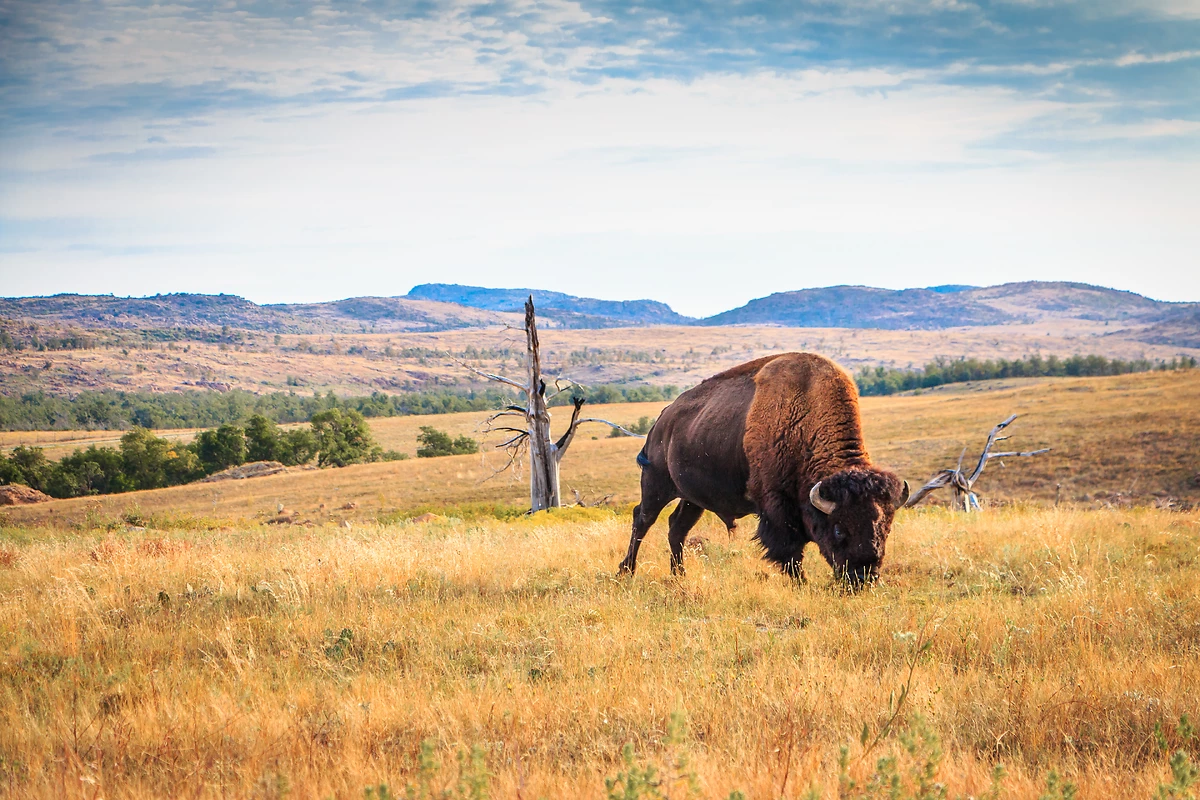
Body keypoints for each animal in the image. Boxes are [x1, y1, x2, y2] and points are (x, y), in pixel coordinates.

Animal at [618, 352, 908, 585]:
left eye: (887, 527)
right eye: (838, 528)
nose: (863, 577)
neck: (804, 415)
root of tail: (661, 422)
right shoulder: (776, 506)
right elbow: (789, 551)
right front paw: (802, 583)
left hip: (692, 499)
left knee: (677, 527)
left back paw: (679, 574)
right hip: (656, 484)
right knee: (642, 519)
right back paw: (626, 571)